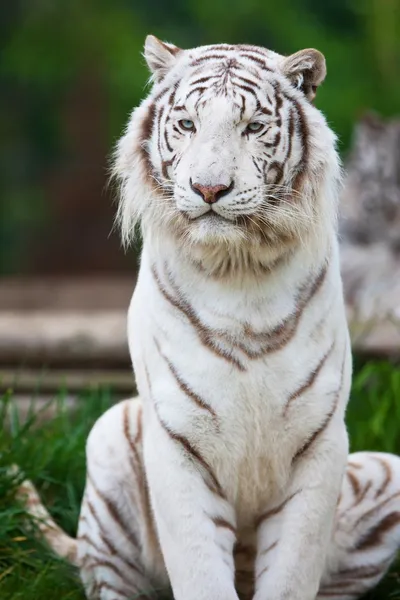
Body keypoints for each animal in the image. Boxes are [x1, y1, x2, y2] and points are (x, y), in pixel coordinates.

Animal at [17, 36, 400, 600]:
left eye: (253, 127)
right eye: (187, 124)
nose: (210, 189)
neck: (239, 271)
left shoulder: (321, 443)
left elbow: (292, 575)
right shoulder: (176, 442)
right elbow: (198, 569)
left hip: (384, 471)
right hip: (109, 442)